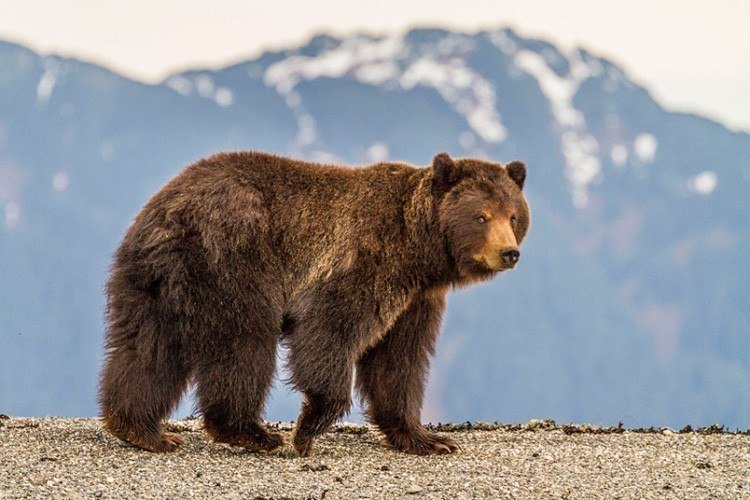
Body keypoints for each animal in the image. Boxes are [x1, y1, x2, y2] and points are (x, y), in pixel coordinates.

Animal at [98, 150, 528, 456]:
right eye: (481, 216)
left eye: (514, 215)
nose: (509, 253)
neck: (419, 251)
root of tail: (168, 208)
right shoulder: (363, 259)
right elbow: (330, 331)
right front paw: (307, 429)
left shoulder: (416, 299)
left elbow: (398, 361)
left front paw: (429, 439)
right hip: (231, 257)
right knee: (243, 343)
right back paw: (250, 432)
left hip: (153, 282)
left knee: (148, 349)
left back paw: (142, 429)